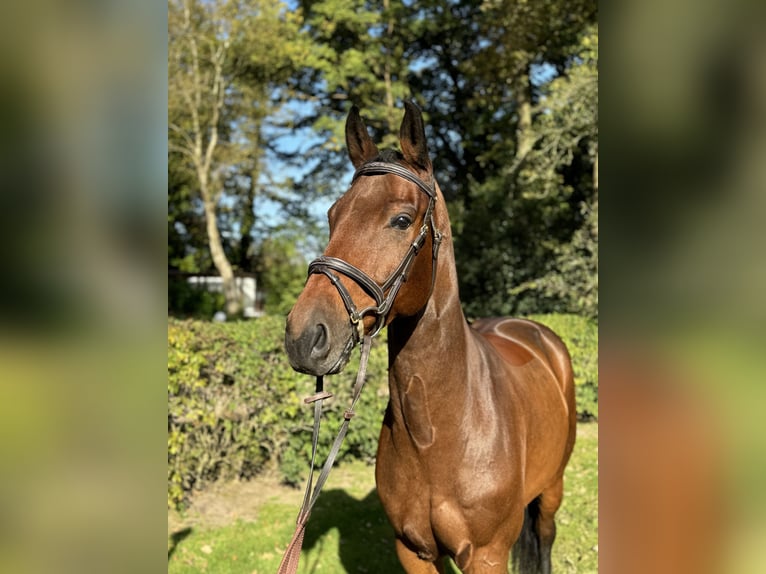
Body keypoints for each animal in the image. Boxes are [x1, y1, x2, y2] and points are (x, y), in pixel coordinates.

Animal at [284, 103, 580, 574]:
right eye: (333, 215)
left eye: (402, 220)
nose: (303, 335)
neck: (438, 432)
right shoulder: (414, 550)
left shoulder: (487, 556)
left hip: (553, 487)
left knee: (547, 537)